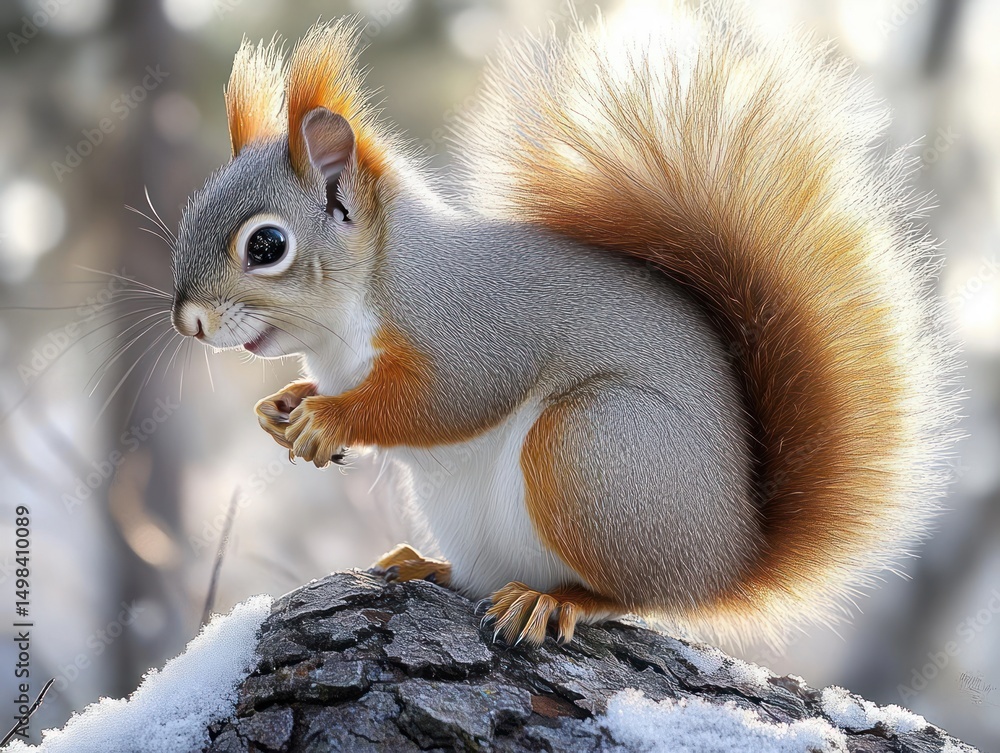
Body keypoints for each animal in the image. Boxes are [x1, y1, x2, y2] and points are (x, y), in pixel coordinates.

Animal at [169, 4, 958, 648]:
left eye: (266, 246)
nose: (188, 320)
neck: (349, 323)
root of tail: (727, 556)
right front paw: (282, 406)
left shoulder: (471, 327)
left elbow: (446, 398)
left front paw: (330, 418)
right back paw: (430, 564)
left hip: (592, 450)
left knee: (633, 596)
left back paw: (558, 602)